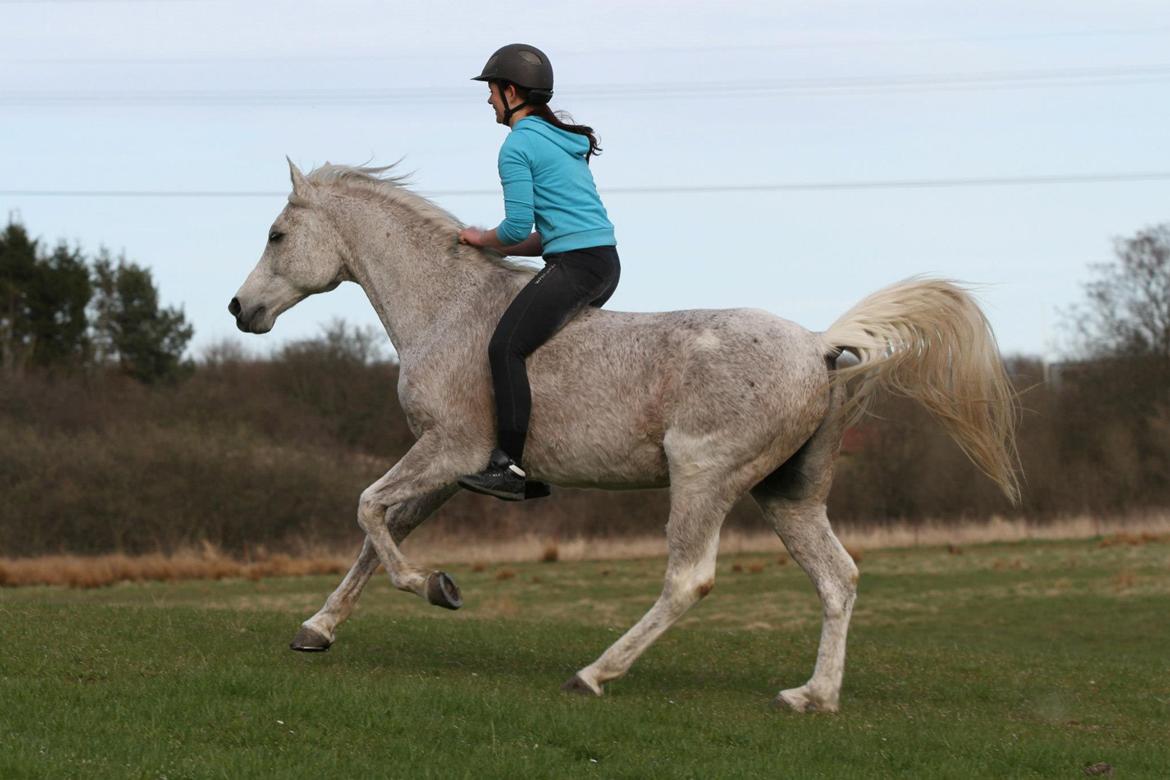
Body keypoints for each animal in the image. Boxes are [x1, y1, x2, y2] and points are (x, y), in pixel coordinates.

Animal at [225, 161, 1015, 711]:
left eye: (276, 235)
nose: (239, 309)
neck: (446, 310)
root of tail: (819, 345)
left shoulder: (449, 452)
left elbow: (367, 510)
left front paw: (435, 588)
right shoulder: (450, 468)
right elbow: (377, 533)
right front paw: (319, 628)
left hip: (703, 477)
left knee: (689, 579)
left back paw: (594, 674)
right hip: (786, 496)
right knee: (838, 578)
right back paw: (811, 697)